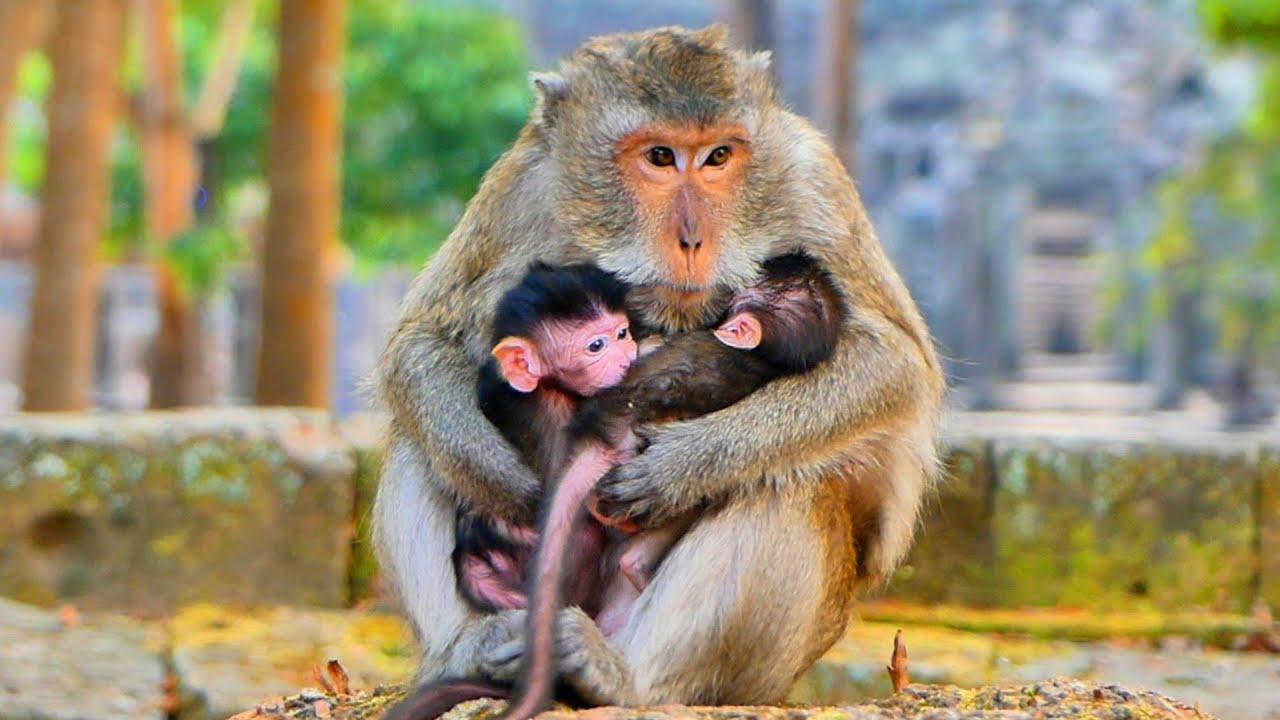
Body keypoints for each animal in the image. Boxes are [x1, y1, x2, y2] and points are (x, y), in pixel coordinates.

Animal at [373, 22, 943, 715]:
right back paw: (473, 646)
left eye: (719, 156)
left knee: (788, 481)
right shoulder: (523, 183)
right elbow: (422, 340)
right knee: (419, 443)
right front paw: (500, 478)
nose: (692, 240)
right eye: (661, 158)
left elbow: (890, 363)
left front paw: (682, 466)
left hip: (766, 666)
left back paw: (619, 676)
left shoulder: (812, 180)